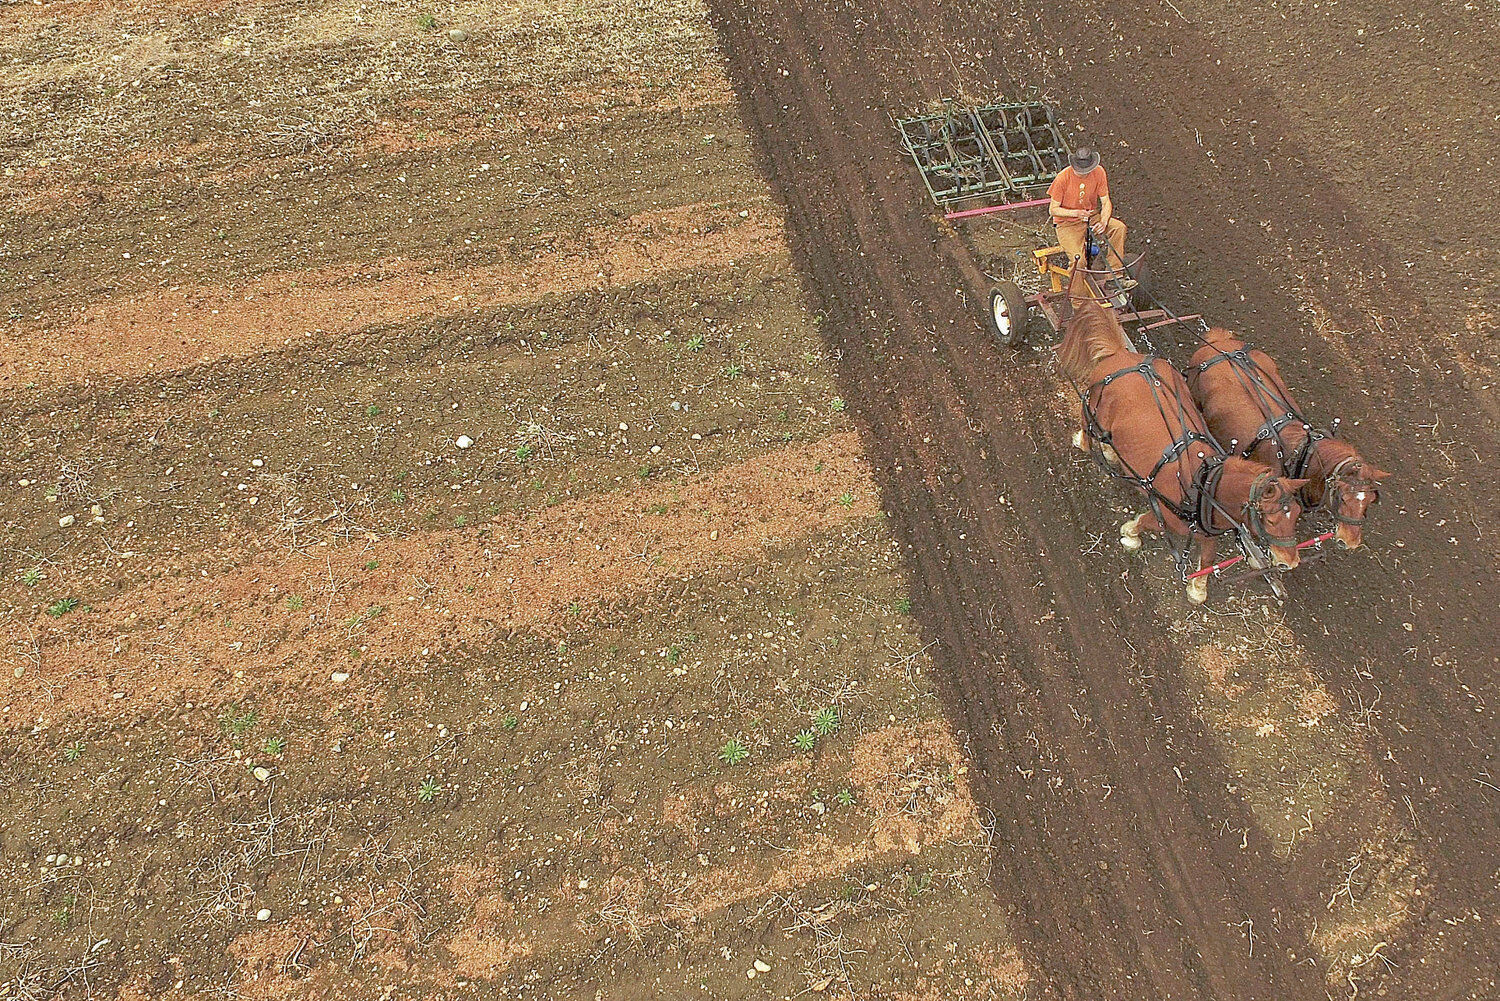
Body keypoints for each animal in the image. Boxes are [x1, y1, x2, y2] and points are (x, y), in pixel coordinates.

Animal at [1056, 271, 1314, 603]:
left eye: (1295, 515)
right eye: (1270, 518)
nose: (1290, 562)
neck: (1204, 485)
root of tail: (1123, 355)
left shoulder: (1208, 530)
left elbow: (1208, 557)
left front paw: (1198, 588)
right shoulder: (1165, 514)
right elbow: (1145, 522)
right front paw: (1130, 533)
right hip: (1094, 410)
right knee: (1087, 428)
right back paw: (1084, 442)